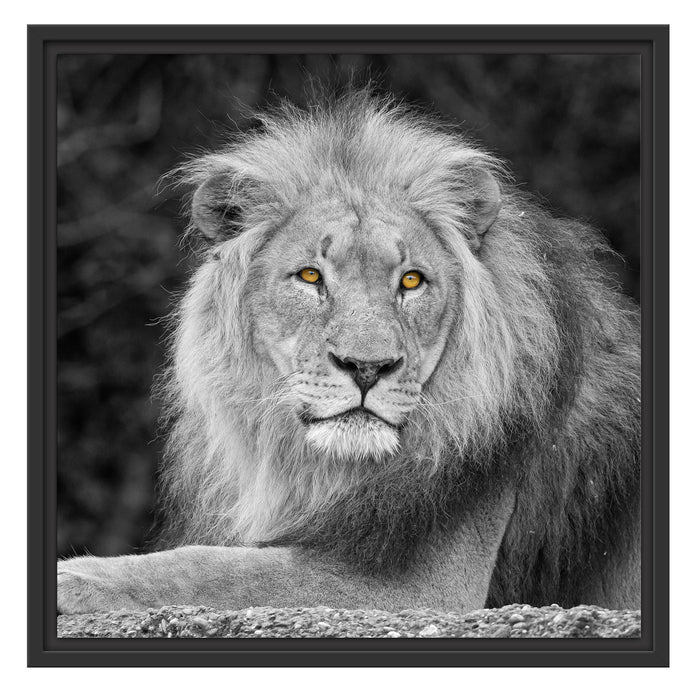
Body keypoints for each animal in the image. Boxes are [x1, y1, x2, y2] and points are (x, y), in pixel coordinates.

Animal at [57, 91, 641, 616]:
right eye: (311, 276)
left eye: (412, 280)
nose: (367, 368)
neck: (322, 470)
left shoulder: (424, 588)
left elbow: (216, 568)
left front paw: (78, 577)